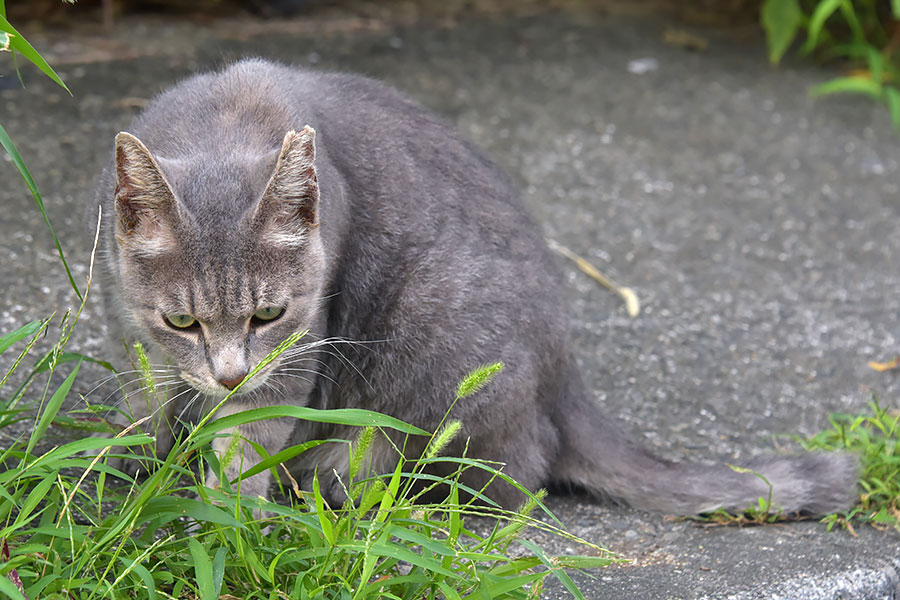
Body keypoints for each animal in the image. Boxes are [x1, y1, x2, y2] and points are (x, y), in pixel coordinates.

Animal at [95, 57, 860, 516]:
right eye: (183, 322)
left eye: (268, 315)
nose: (229, 376)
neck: (225, 124)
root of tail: (565, 379)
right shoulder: (136, 343)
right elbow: (153, 407)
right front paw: (145, 476)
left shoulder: (294, 359)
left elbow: (246, 443)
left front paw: (221, 519)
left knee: (507, 479)